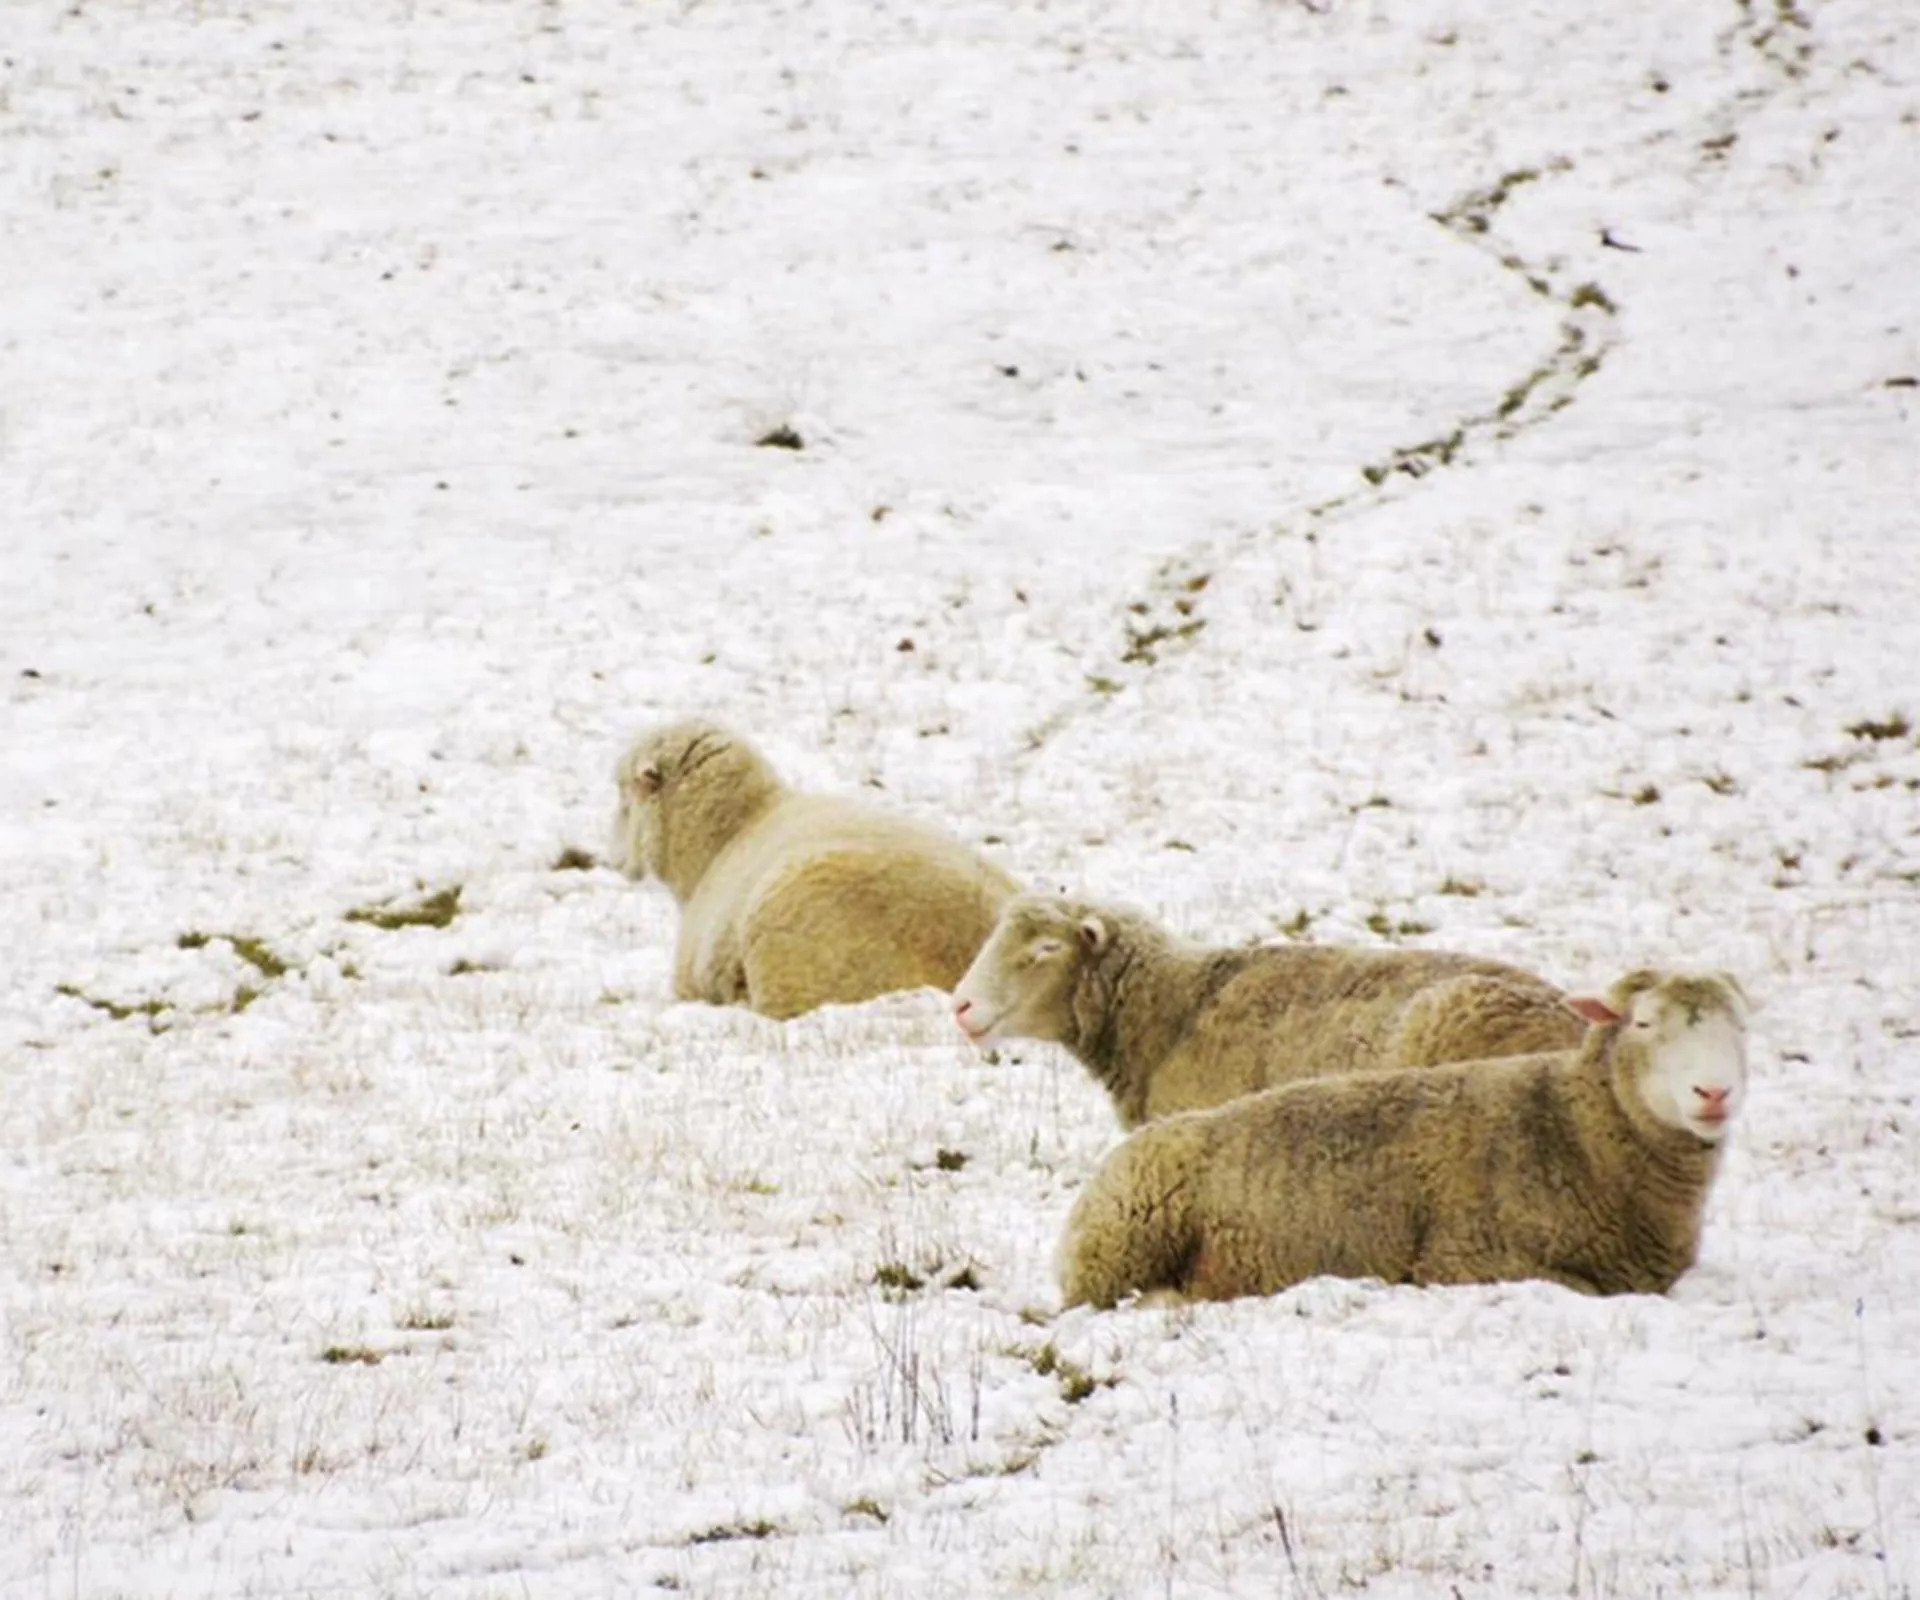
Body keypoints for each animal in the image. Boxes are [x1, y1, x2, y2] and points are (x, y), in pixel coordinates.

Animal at [1056, 968, 1750, 1308]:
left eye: (1739, 1028)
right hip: (1122, 1252)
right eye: (1643, 1023)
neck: (1574, 1129)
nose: (1713, 1093)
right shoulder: (1467, 1262)